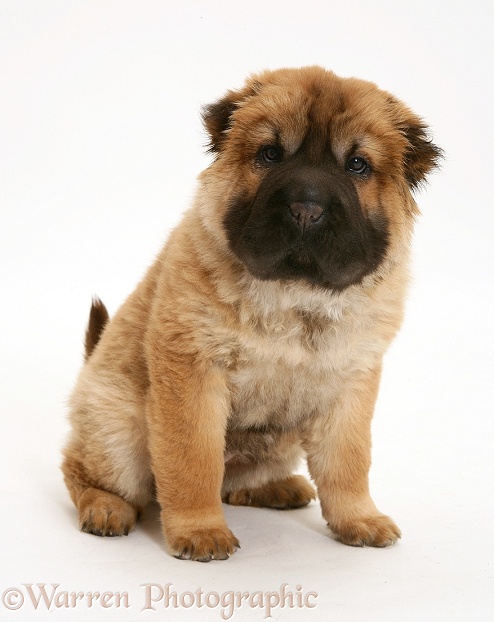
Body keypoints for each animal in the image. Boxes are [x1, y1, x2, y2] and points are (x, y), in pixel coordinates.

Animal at [61, 66, 440, 564]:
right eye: (270, 154)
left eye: (357, 165)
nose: (306, 208)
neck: (294, 296)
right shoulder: (194, 372)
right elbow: (193, 461)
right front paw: (200, 531)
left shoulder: (351, 385)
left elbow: (348, 462)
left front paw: (360, 519)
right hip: (118, 435)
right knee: (83, 469)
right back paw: (105, 508)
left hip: (278, 442)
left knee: (237, 482)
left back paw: (278, 488)